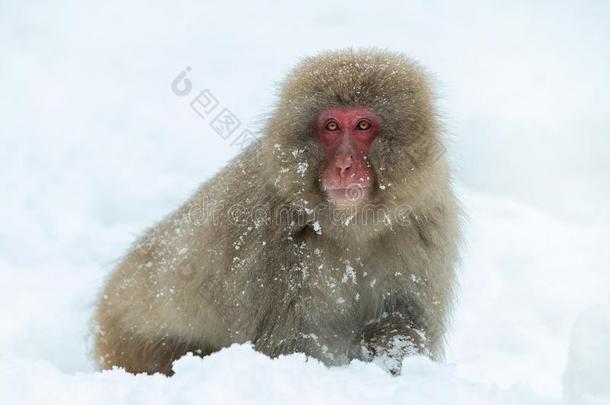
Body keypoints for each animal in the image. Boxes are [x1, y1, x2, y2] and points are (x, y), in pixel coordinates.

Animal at [92, 49, 458, 374]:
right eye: (331, 127)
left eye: (363, 125)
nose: (344, 166)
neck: (348, 223)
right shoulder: (267, 241)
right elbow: (286, 344)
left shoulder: (424, 225)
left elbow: (401, 318)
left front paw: (396, 357)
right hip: (136, 341)